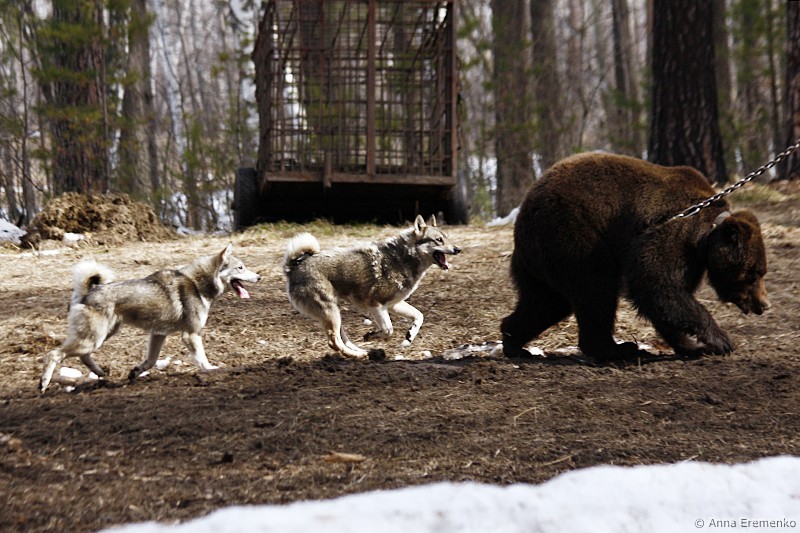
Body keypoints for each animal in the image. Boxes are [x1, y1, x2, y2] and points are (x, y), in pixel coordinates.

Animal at [39, 244, 261, 392]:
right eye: (241, 267)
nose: (259, 277)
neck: (198, 284)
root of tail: (88, 293)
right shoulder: (190, 335)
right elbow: (202, 360)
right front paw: (212, 371)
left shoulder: (158, 335)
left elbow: (150, 361)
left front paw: (135, 373)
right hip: (93, 339)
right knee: (54, 354)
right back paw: (43, 383)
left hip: (101, 336)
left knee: (83, 356)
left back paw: (101, 373)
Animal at [283, 215, 461, 357]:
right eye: (439, 240)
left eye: (446, 238)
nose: (458, 249)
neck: (404, 258)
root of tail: (293, 267)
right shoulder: (376, 305)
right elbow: (388, 330)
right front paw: (373, 335)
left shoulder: (394, 304)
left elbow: (419, 316)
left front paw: (408, 338)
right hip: (331, 312)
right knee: (334, 342)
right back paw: (358, 355)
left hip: (334, 313)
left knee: (341, 339)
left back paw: (360, 351)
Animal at [501, 152, 770, 361]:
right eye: (754, 274)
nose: (764, 304)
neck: (704, 238)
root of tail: (524, 212)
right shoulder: (672, 232)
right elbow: (655, 283)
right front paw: (720, 340)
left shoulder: (691, 260)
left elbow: (667, 297)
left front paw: (691, 345)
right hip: (575, 237)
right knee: (596, 290)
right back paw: (616, 349)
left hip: (542, 261)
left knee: (546, 302)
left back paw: (513, 341)